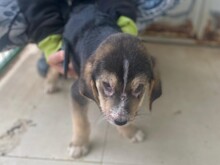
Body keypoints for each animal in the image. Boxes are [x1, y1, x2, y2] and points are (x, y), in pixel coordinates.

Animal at [44, 3, 162, 158]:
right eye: (107, 85)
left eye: (139, 88)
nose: (120, 121)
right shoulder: (77, 92)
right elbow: (80, 121)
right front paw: (79, 144)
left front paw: (130, 132)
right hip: (65, 51)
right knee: (53, 63)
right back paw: (50, 83)